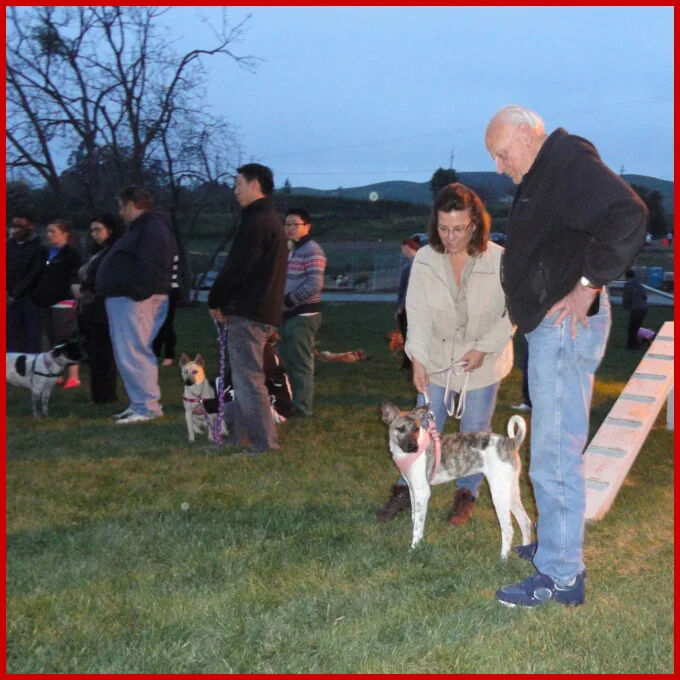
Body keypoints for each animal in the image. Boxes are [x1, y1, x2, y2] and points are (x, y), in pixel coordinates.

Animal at [380, 402, 532, 560]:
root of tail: (510, 442)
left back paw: (503, 559)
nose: (414, 447)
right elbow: (414, 517)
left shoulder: (422, 492)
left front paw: (414, 548)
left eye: (416, 429)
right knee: (525, 521)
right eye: (401, 428)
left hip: (498, 494)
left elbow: (418, 526)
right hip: (510, 491)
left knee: (508, 528)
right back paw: (525, 554)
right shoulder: (412, 490)